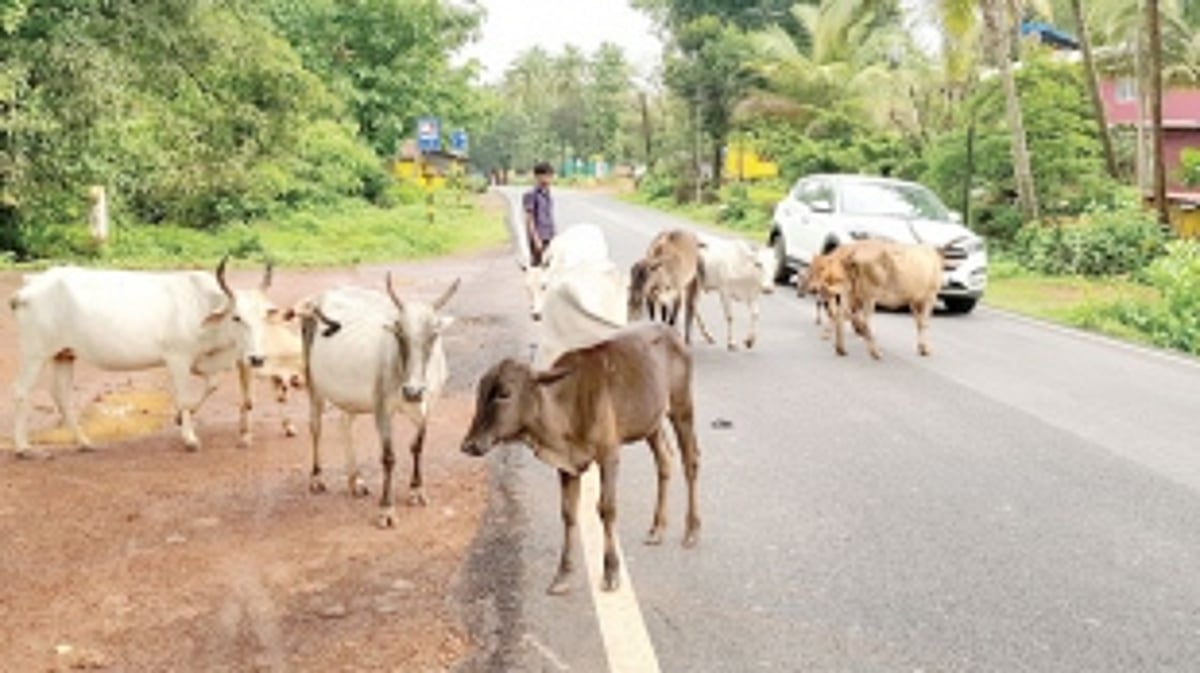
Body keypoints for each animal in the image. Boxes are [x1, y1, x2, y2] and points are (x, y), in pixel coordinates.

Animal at [9, 257, 273, 456]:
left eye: (264, 316)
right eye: (237, 317)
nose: (257, 359)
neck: (201, 304)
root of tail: (29, 285)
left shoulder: (200, 361)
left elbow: (212, 384)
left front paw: (179, 419)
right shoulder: (178, 358)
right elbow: (184, 398)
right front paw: (189, 439)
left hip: (64, 354)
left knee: (61, 396)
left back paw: (84, 442)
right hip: (35, 353)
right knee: (21, 391)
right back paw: (23, 448)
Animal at [300, 273, 459, 528]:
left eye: (434, 334)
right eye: (399, 333)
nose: (412, 391)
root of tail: (318, 298)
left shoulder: (428, 407)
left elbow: (417, 446)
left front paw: (416, 490)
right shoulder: (382, 408)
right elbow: (388, 457)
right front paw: (386, 509)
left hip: (350, 397)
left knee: (344, 425)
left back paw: (355, 480)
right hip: (312, 383)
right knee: (315, 426)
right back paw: (316, 478)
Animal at [461, 323, 701, 596]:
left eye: (504, 393)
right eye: (480, 392)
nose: (468, 444)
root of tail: (670, 330)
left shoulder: (609, 455)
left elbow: (606, 509)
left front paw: (610, 571)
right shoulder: (567, 467)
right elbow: (568, 514)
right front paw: (562, 575)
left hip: (682, 407)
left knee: (690, 461)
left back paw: (692, 531)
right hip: (652, 422)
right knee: (664, 460)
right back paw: (657, 529)